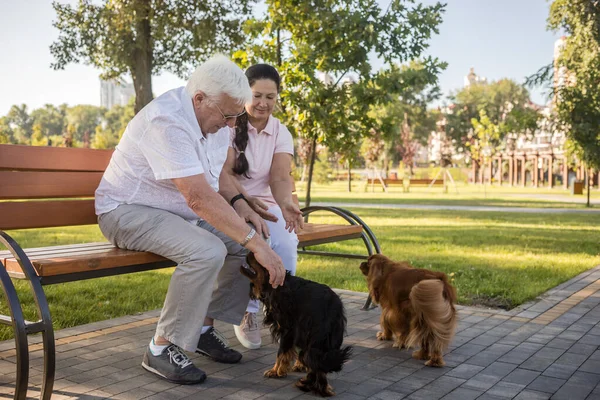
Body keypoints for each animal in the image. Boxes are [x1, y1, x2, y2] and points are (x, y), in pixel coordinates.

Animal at [239, 253, 352, 396]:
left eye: (260, 261)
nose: (251, 252)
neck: (277, 286)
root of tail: (329, 308)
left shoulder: (288, 329)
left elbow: (281, 352)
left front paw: (275, 371)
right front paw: (298, 365)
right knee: (317, 361)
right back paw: (321, 387)